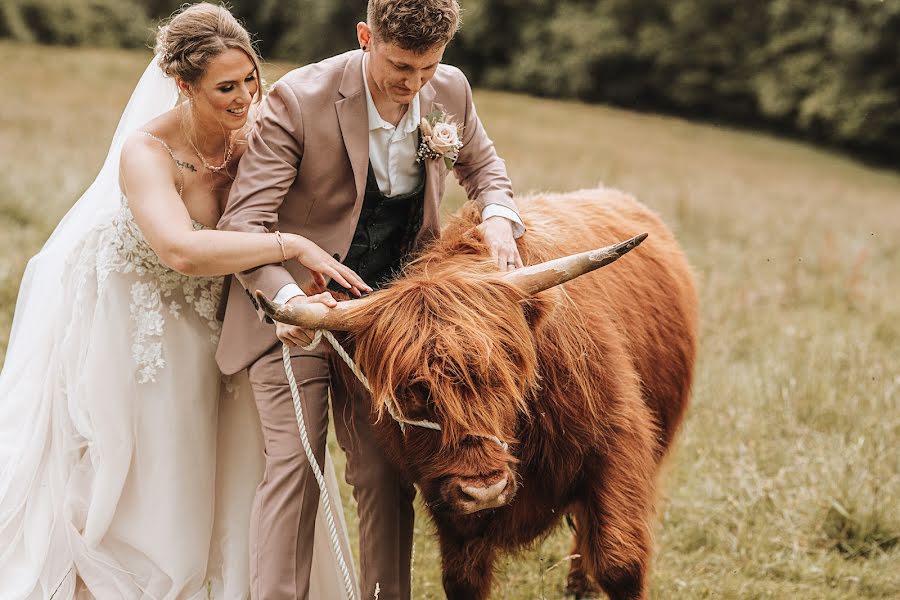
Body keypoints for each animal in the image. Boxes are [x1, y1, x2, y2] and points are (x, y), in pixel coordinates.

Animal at [258, 189, 696, 600]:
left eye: (504, 375)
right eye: (411, 392)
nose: (484, 489)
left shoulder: (617, 444)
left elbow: (619, 563)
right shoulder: (444, 491)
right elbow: (463, 578)